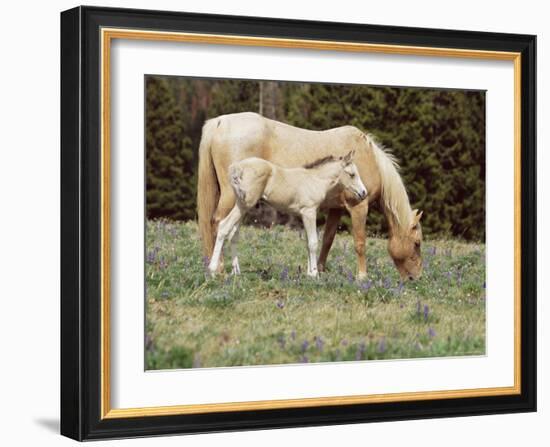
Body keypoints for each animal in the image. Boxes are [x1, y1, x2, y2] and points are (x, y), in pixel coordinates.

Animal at [209, 152, 368, 278]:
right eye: (352, 174)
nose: (363, 193)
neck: (315, 180)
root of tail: (238, 167)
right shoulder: (309, 212)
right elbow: (313, 242)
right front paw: (314, 274)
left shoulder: (303, 214)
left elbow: (307, 242)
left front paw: (309, 273)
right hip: (244, 205)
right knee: (224, 227)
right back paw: (212, 269)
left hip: (242, 205)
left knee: (233, 234)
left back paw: (236, 271)